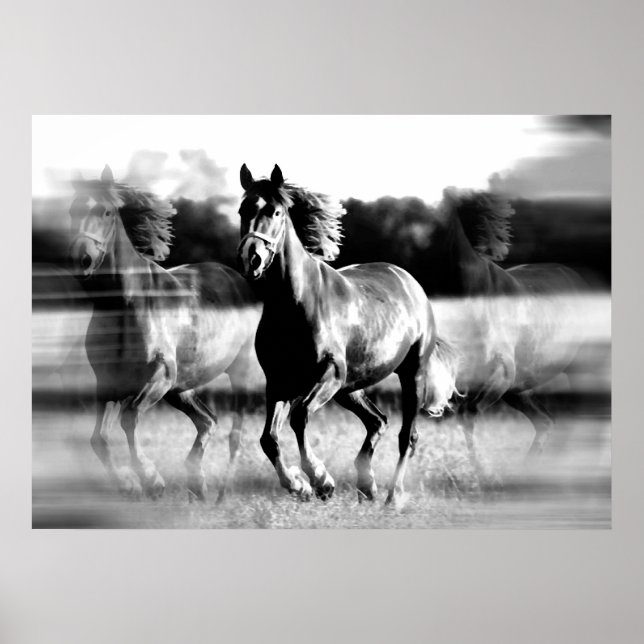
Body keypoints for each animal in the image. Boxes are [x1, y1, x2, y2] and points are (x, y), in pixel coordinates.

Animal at [68, 165, 261, 501]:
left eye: (105, 211)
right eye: (71, 210)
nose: (83, 260)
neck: (126, 306)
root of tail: (235, 277)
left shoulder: (159, 377)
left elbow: (129, 418)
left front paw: (151, 479)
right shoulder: (108, 383)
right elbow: (99, 439)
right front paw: (129, 484)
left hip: (238, 372)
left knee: (234, 434)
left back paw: (221, 493)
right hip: (181, 388)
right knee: (208, 421)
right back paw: (197, 483)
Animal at [236, 164, 460, 505]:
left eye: (275, 212)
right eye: (242, 210)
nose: (252, 258)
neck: (297, 303)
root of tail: (410, 283)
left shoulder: (329, 373)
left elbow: (300, 417)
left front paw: (320, 480)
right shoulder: (278, 382)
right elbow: (268, 439)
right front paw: (298, 485)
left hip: (409, 374)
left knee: (407, 436)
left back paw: (393, 497)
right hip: (350, 387)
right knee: (377, 421)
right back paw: (367, 485)